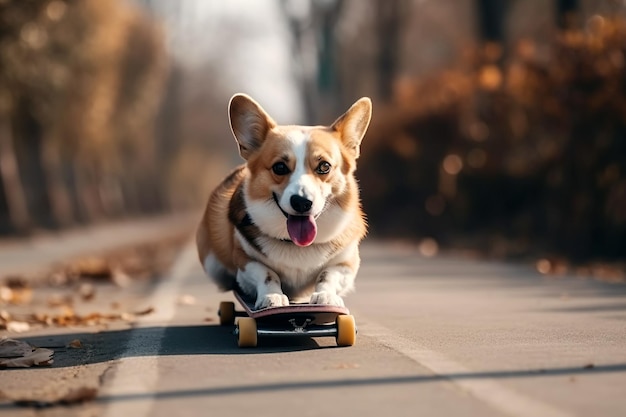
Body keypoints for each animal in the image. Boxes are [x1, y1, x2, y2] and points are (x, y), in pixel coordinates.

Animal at [195, 93, 370, 308]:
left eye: (324, 166)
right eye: (279, 167)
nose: (302, 202)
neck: (296, 246)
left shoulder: (346, 263)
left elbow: (328, 274)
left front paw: (326, 296)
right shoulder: (245, 261)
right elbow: (267, 273)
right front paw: (272, 296)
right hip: (212, 264)